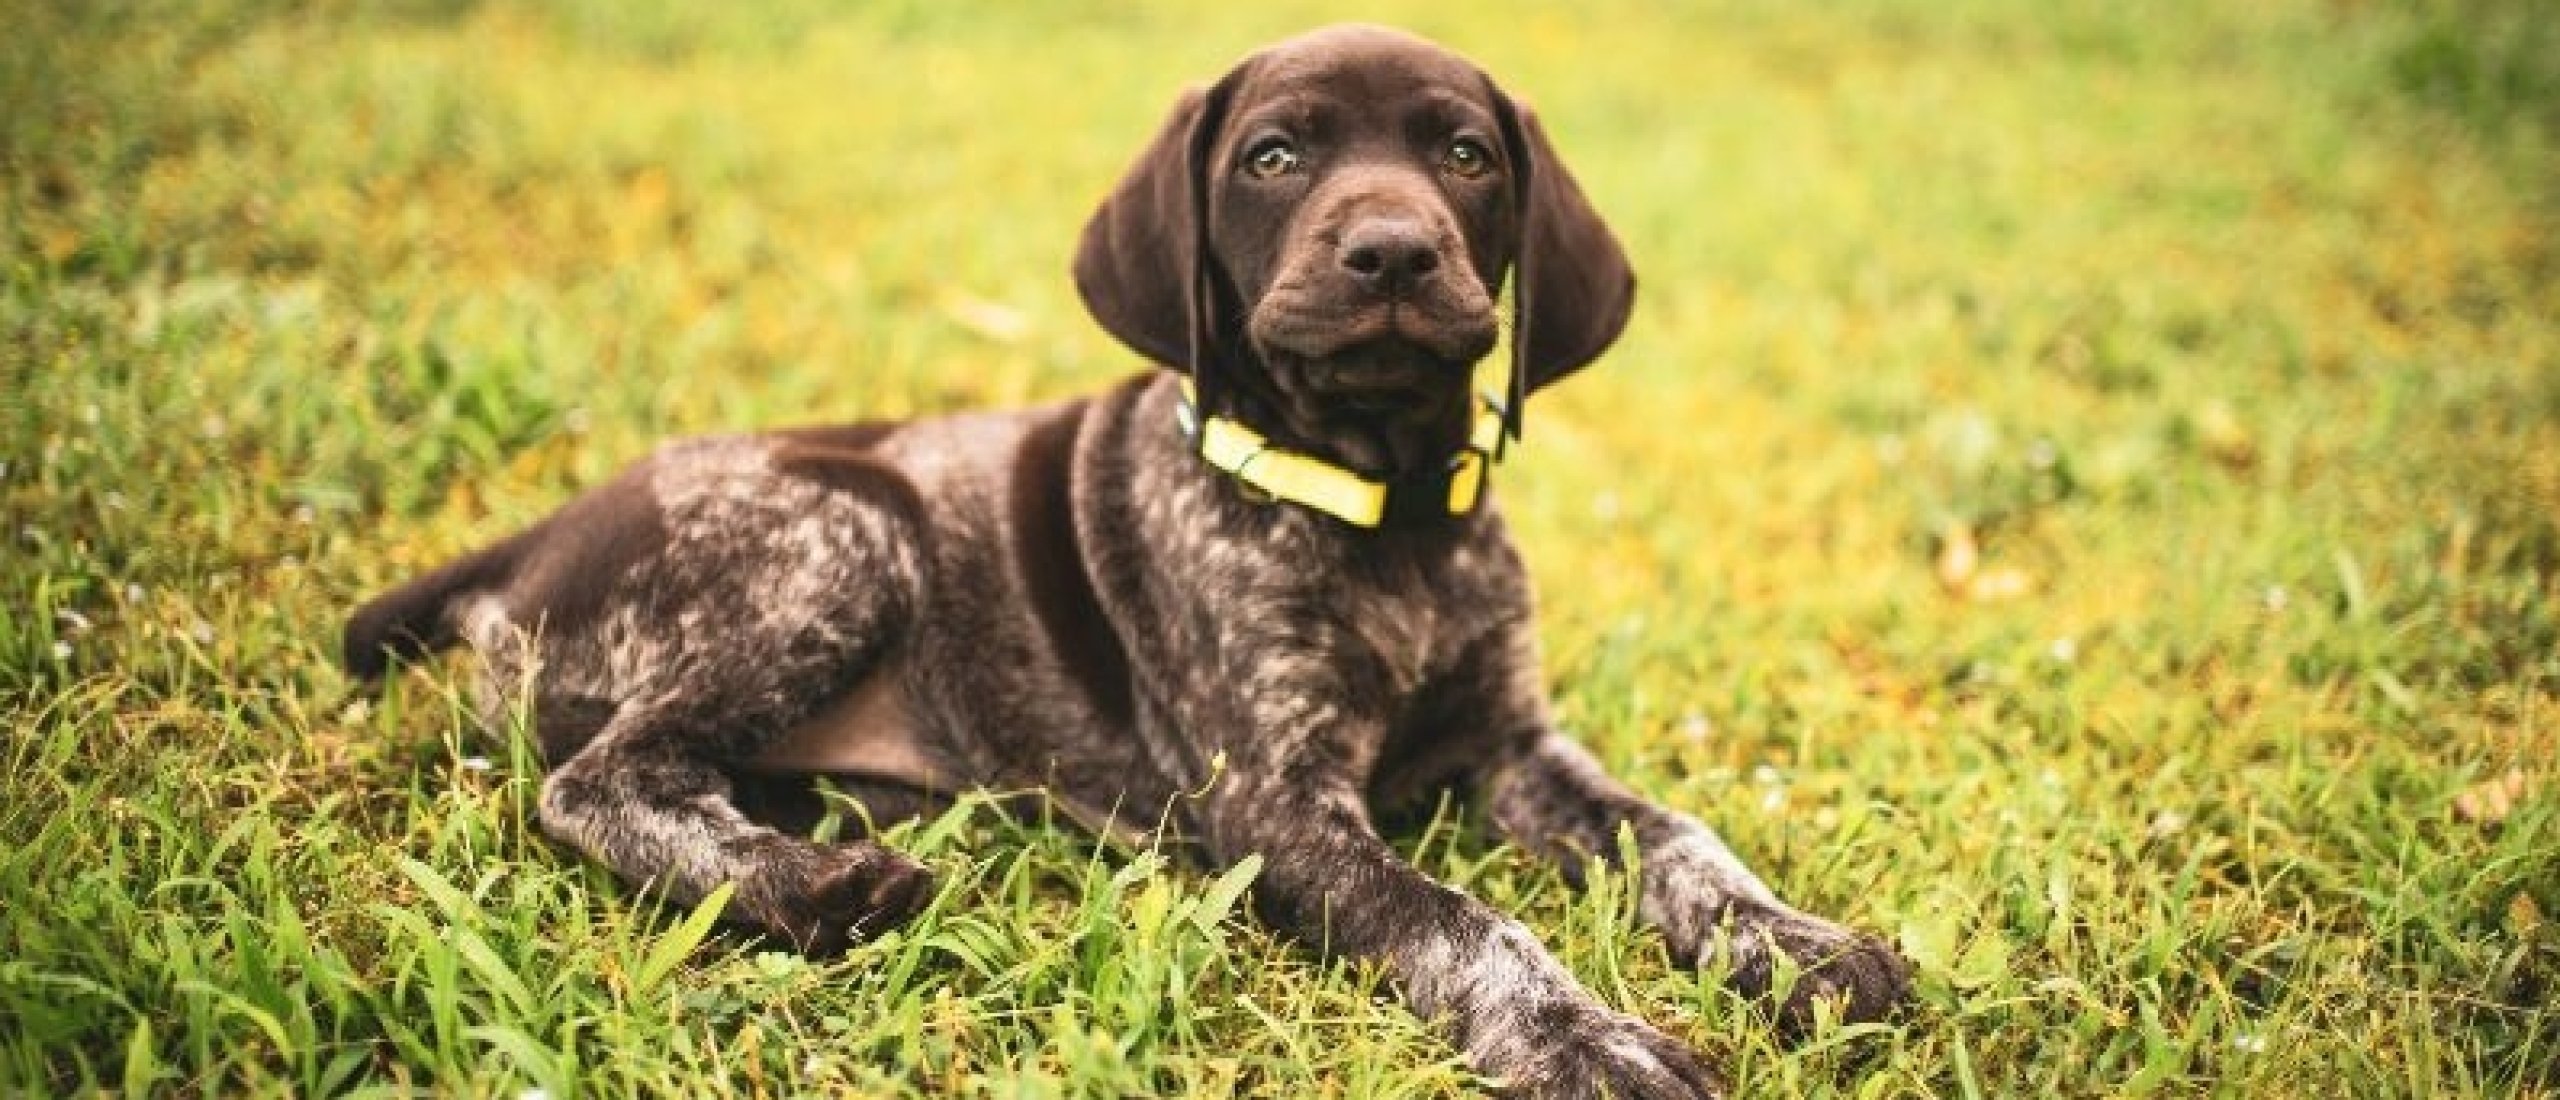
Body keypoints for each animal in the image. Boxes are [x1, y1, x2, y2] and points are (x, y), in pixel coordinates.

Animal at [345, 25, 1904, 1100]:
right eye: (1275, 157)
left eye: (1465, 154)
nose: (1393, 253)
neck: (1381, 509)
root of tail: (537, 532)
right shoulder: (1279, 807)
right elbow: (1466, 921)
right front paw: (1585, 1036)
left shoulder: (1516, 745)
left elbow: (1679, 836)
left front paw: (1796, 942)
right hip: (842, 528)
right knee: (598, 777)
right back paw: (821, 889)